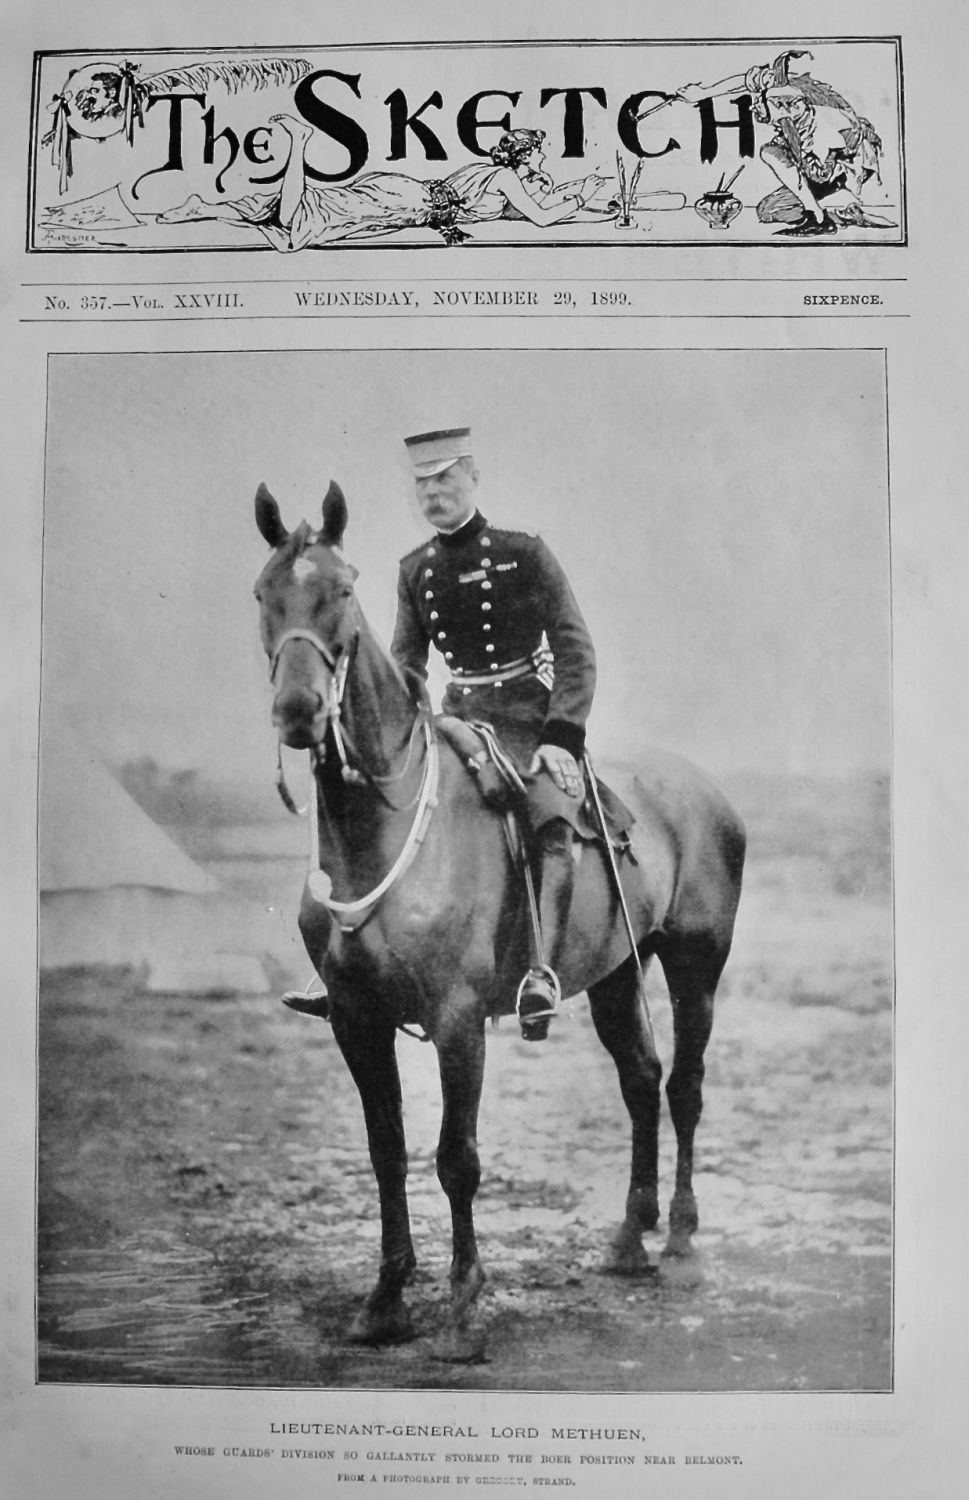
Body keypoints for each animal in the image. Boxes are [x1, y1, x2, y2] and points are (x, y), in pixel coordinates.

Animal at [255, 480, 747, 1362]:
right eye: (261, 596)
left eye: (341, 590)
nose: (298, 711)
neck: (379, 834)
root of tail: (699, 788)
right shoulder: (354, 1018)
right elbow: (385, 1152)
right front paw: (385, 1301)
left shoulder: (456, 1020)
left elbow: (456, 1158)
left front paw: (461, 1309)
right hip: (615, 973)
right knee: (640, 1079)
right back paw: (629, 1239)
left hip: (695, 966)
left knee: (684, 1087)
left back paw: (681, 1241)